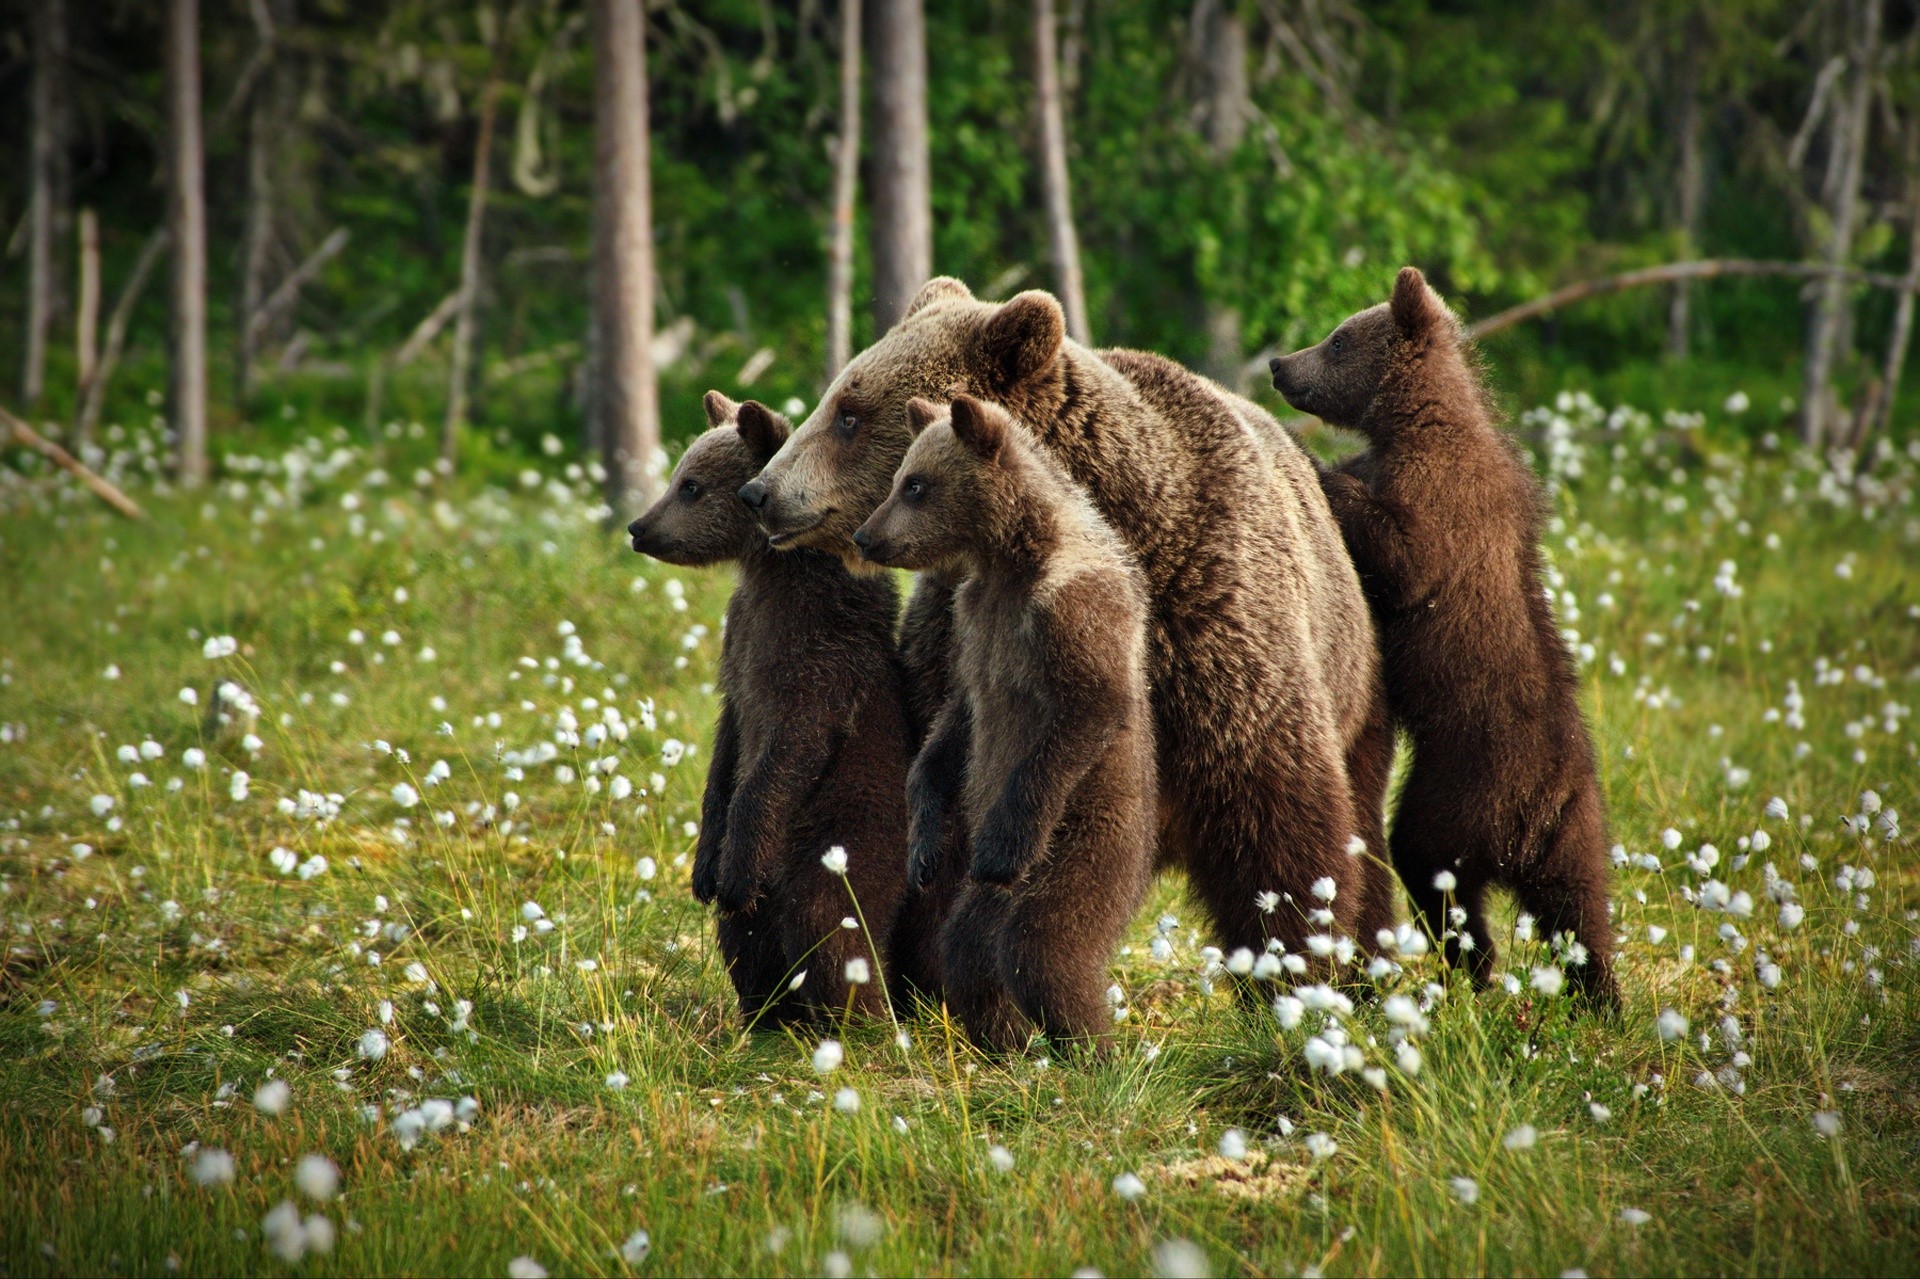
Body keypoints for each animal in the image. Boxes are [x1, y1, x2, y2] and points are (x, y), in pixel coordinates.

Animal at [626, 391, 919, 1025]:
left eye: (691, 486)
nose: (638, 527)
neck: (772, 571)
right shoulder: (741, 646)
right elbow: (728, 746)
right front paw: (704, 872)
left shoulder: (815, 652)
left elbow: (785, 751)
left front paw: (733, 871)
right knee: (746, 932)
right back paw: (766, 1011)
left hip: (845, 833)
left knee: (828, 922)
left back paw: (855, 1014)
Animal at [737, 277, 1394, 973]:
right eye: (838, 398)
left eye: (849, 414)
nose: (760, 492)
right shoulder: (962, 637)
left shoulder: (1213, 628)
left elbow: (1275, 813)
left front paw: (1298, 956)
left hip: (1359, 683)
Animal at [852, 394, 1156, 1050]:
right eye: (900, 478)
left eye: (916, 485)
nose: (866, 536)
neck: (1013, 558)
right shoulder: (976, 624)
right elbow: (956, 724)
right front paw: (921, 843)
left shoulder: (1070, 610)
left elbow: (1085, 707)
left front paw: (998, 842)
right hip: (987, 899)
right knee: (966, 945)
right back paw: (1005, 1038)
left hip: (1087, 837)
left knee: (1044, 944)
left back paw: (1091, 1046)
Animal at [1268, 266, 1619, 1005]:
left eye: (1337, 338)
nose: (1281, 363)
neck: (1413, 422)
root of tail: (1536, 810)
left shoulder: (1443, 498)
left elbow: (1404, 554)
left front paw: (1315, 462)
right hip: (1579, 826)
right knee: (1582, 910)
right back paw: (1601, 998)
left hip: (1462, 785)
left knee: (1429, 863)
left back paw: (1475, 964)